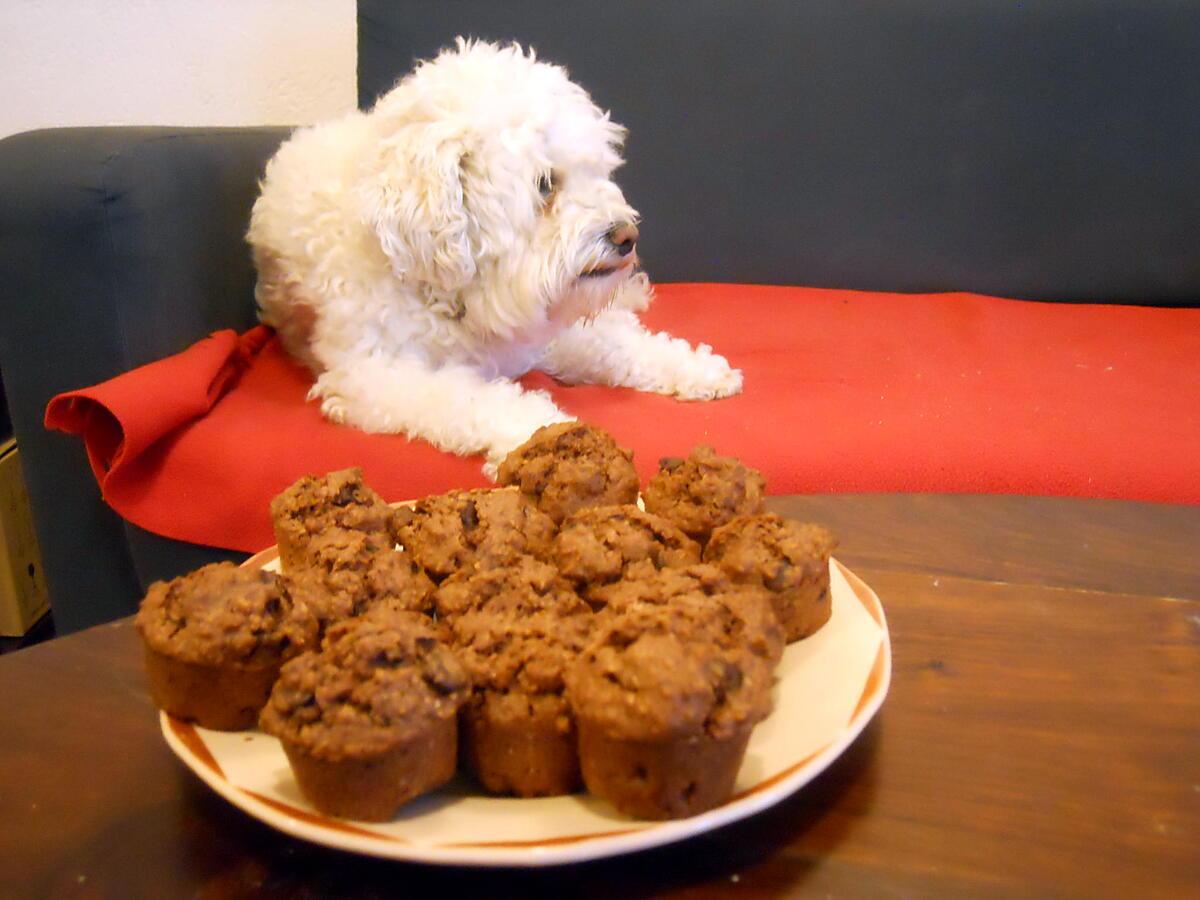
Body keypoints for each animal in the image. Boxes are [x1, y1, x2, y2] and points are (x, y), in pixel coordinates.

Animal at [248, 37, 739, 472]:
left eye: (598, 171)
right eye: (545, 184)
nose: (627, 236)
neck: (452, 291)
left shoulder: (544, 332)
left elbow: (618, 343)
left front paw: (696, 368)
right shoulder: (378, 375)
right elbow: (478, 401)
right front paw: (552, 434)